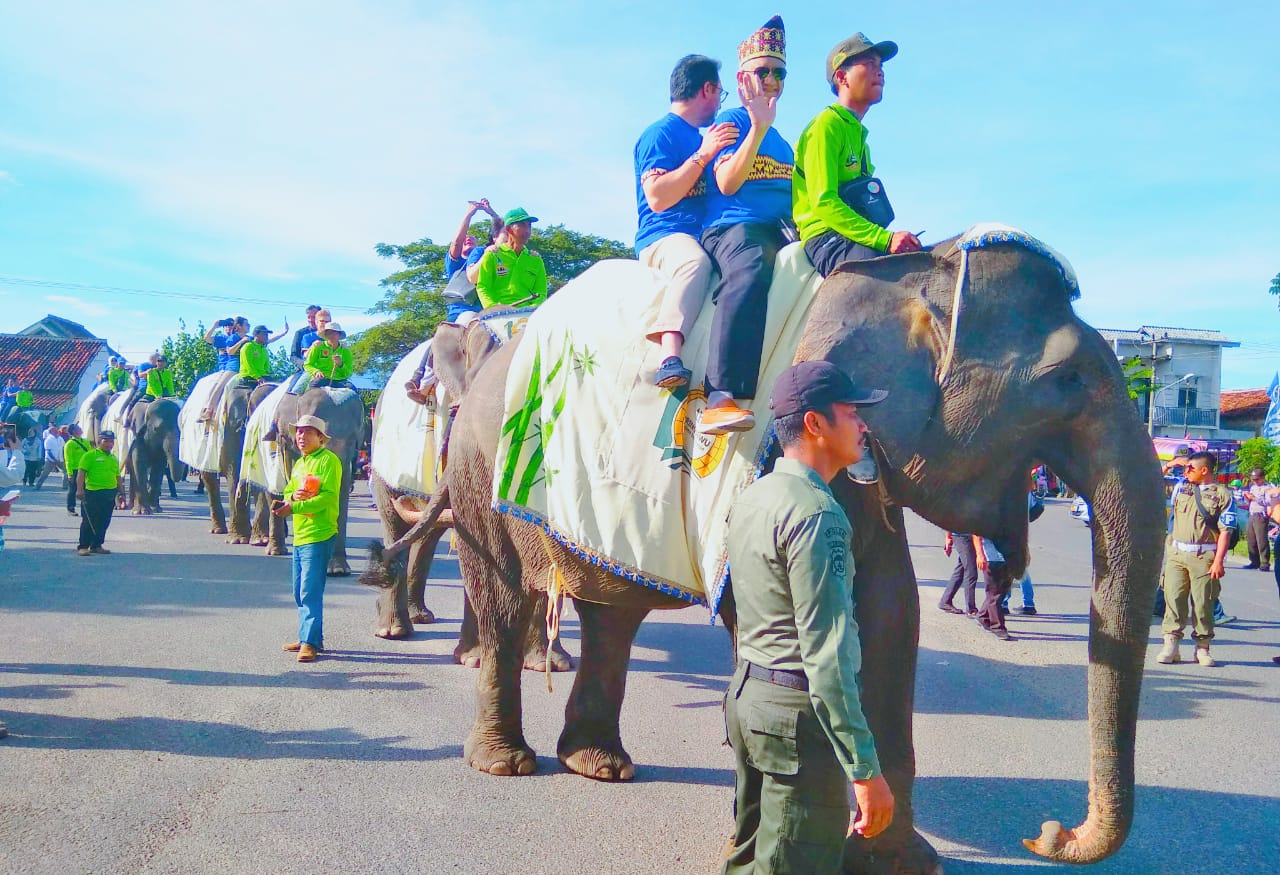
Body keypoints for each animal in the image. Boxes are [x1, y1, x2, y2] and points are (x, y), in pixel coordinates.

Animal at [198, 383, 276, 547]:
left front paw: (260, 540)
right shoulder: (232, 429)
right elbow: (236, 475)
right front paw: (238, 540)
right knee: (209, 479)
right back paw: (218, 530)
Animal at [435, 235, 1167, 869]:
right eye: (1068, 378)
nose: (1047, 832)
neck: (904, 274)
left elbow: (892, 612)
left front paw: (896, 860)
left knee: (611, 617)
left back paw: (599, 765)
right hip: (477, 474)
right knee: (506, 603)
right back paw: (506, 762)